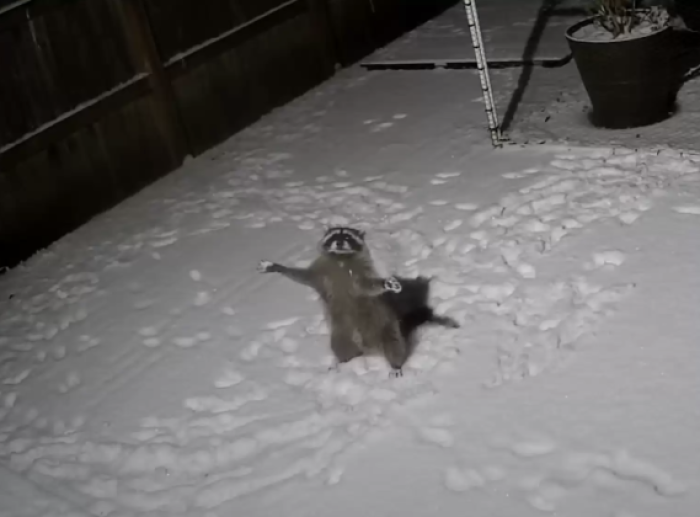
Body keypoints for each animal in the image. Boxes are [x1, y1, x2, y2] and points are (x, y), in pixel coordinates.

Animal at [258, 227, 409, 376]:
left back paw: (396, 365)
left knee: (394, 344)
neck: (340, 258)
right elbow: (303, 276)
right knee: (340, 346)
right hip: (341, 332)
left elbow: (368, 285)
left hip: (385, 323)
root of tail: (369, 349)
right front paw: (277, 267)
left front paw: (385, 284)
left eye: (347, 237)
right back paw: (344, 363)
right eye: (335, 236)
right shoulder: (319, 270)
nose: (339, 243)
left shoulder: (360, 272)